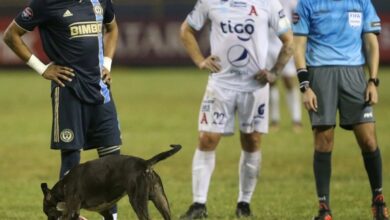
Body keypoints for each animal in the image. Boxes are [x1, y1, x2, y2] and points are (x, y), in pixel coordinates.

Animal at [41, 144, 181, 220]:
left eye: (47, 212)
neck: (63, 187)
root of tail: (145, 163)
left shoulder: (71, 212)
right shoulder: (105, 212)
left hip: (138, 201)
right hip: (161, 200)